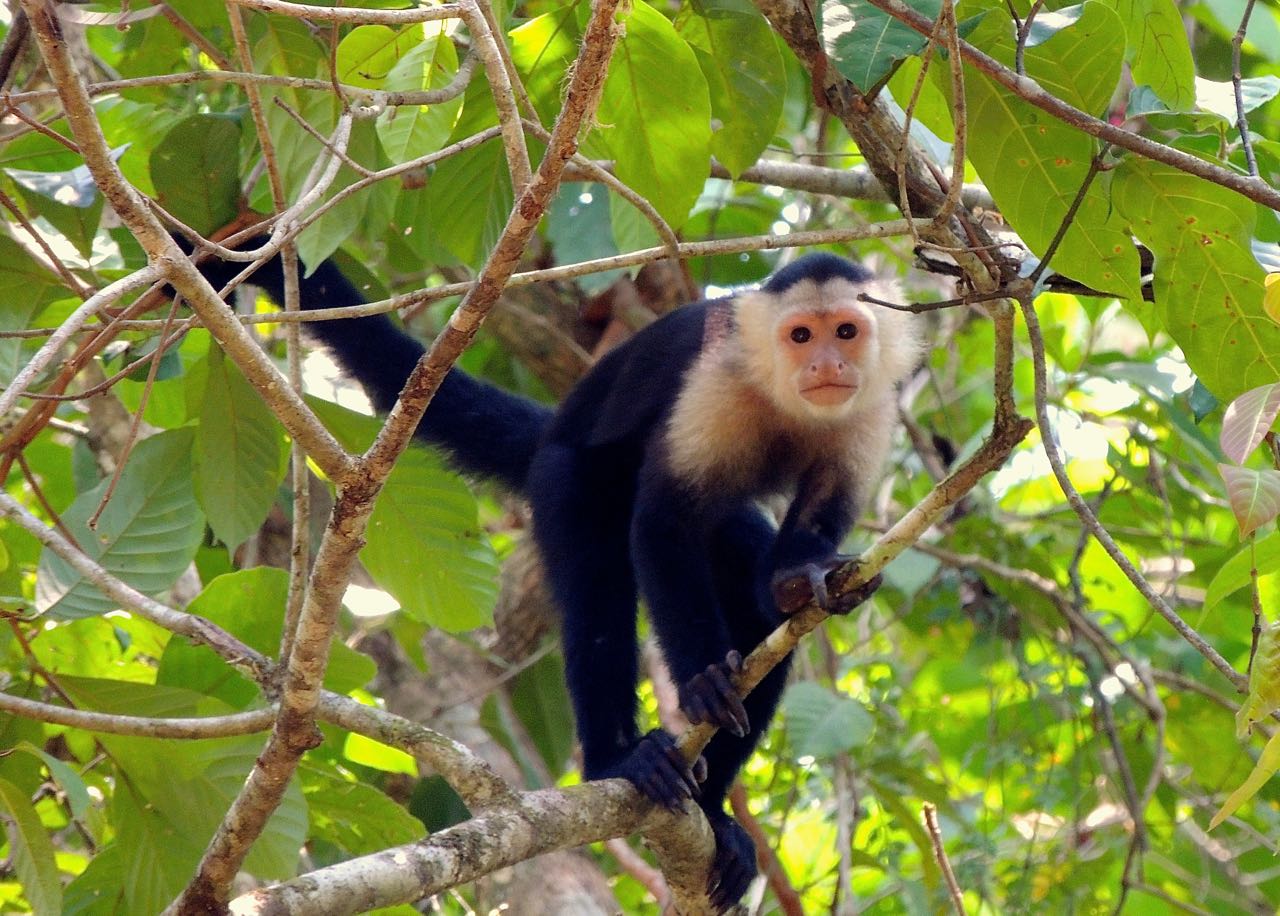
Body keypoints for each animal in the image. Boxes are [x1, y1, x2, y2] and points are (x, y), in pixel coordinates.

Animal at [192, 246, 921, 910]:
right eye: (800, 336)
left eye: (845, 332)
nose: (825, 365)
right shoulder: (717, 381)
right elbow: (663, 524)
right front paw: (704, 678)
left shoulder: (871, 407)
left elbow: (791, 561)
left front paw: (804, 577)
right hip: (566, 478)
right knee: (599, 589)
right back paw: (618, 760)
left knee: (750, 593)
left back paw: (714, 814)